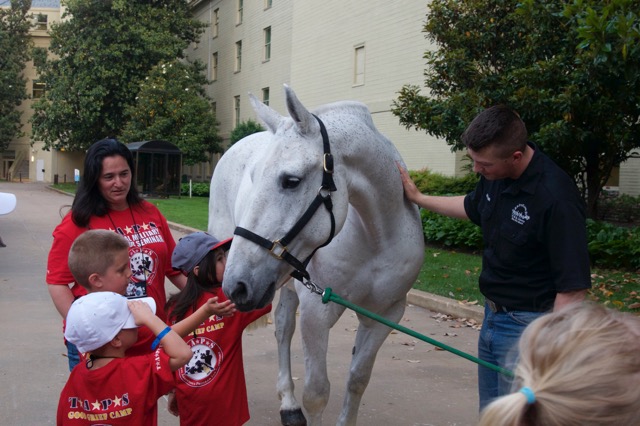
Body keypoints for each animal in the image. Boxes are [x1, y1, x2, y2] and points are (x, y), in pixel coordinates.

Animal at [209, 85, 424, 424]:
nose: (238, 285)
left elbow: (358, 378)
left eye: (291, 181)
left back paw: (287, 401)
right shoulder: (316, 312)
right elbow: (316, 393)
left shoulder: (385, 315)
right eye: (253, 177)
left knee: (283, 327)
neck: (376, 238)